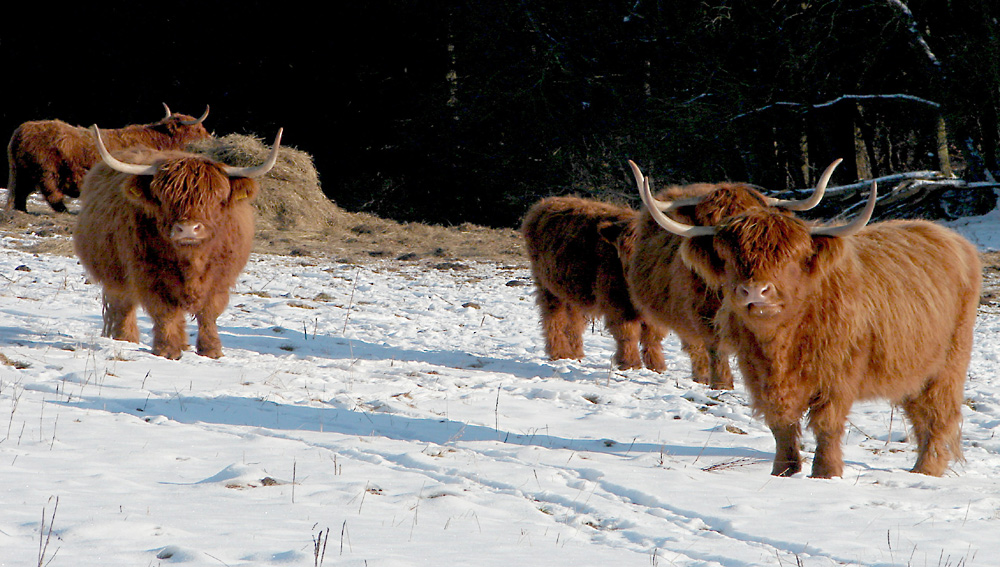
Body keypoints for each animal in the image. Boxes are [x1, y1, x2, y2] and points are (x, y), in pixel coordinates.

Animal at [73, 126, 282, 362]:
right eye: (164, 198)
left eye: (215, 197)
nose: (188, 229)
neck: (192, 259)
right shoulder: (149, 274)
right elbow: (165, 312)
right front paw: (167, 350)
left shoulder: (221, 277)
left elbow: (209, 312)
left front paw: (211, 350)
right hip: (114, 271)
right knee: (123, 303)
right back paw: (126, 338)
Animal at [520, 196, 668, 372]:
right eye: (623, 250)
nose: (630, 273)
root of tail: (544, 203)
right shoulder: (617, 302)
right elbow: (628, 333)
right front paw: (630, 364)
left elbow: (653, 336)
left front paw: (657, 365)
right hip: (547, 287)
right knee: (554, 319)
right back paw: (559, 353)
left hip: (572, 289)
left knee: (574, 322)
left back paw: (575, 353)